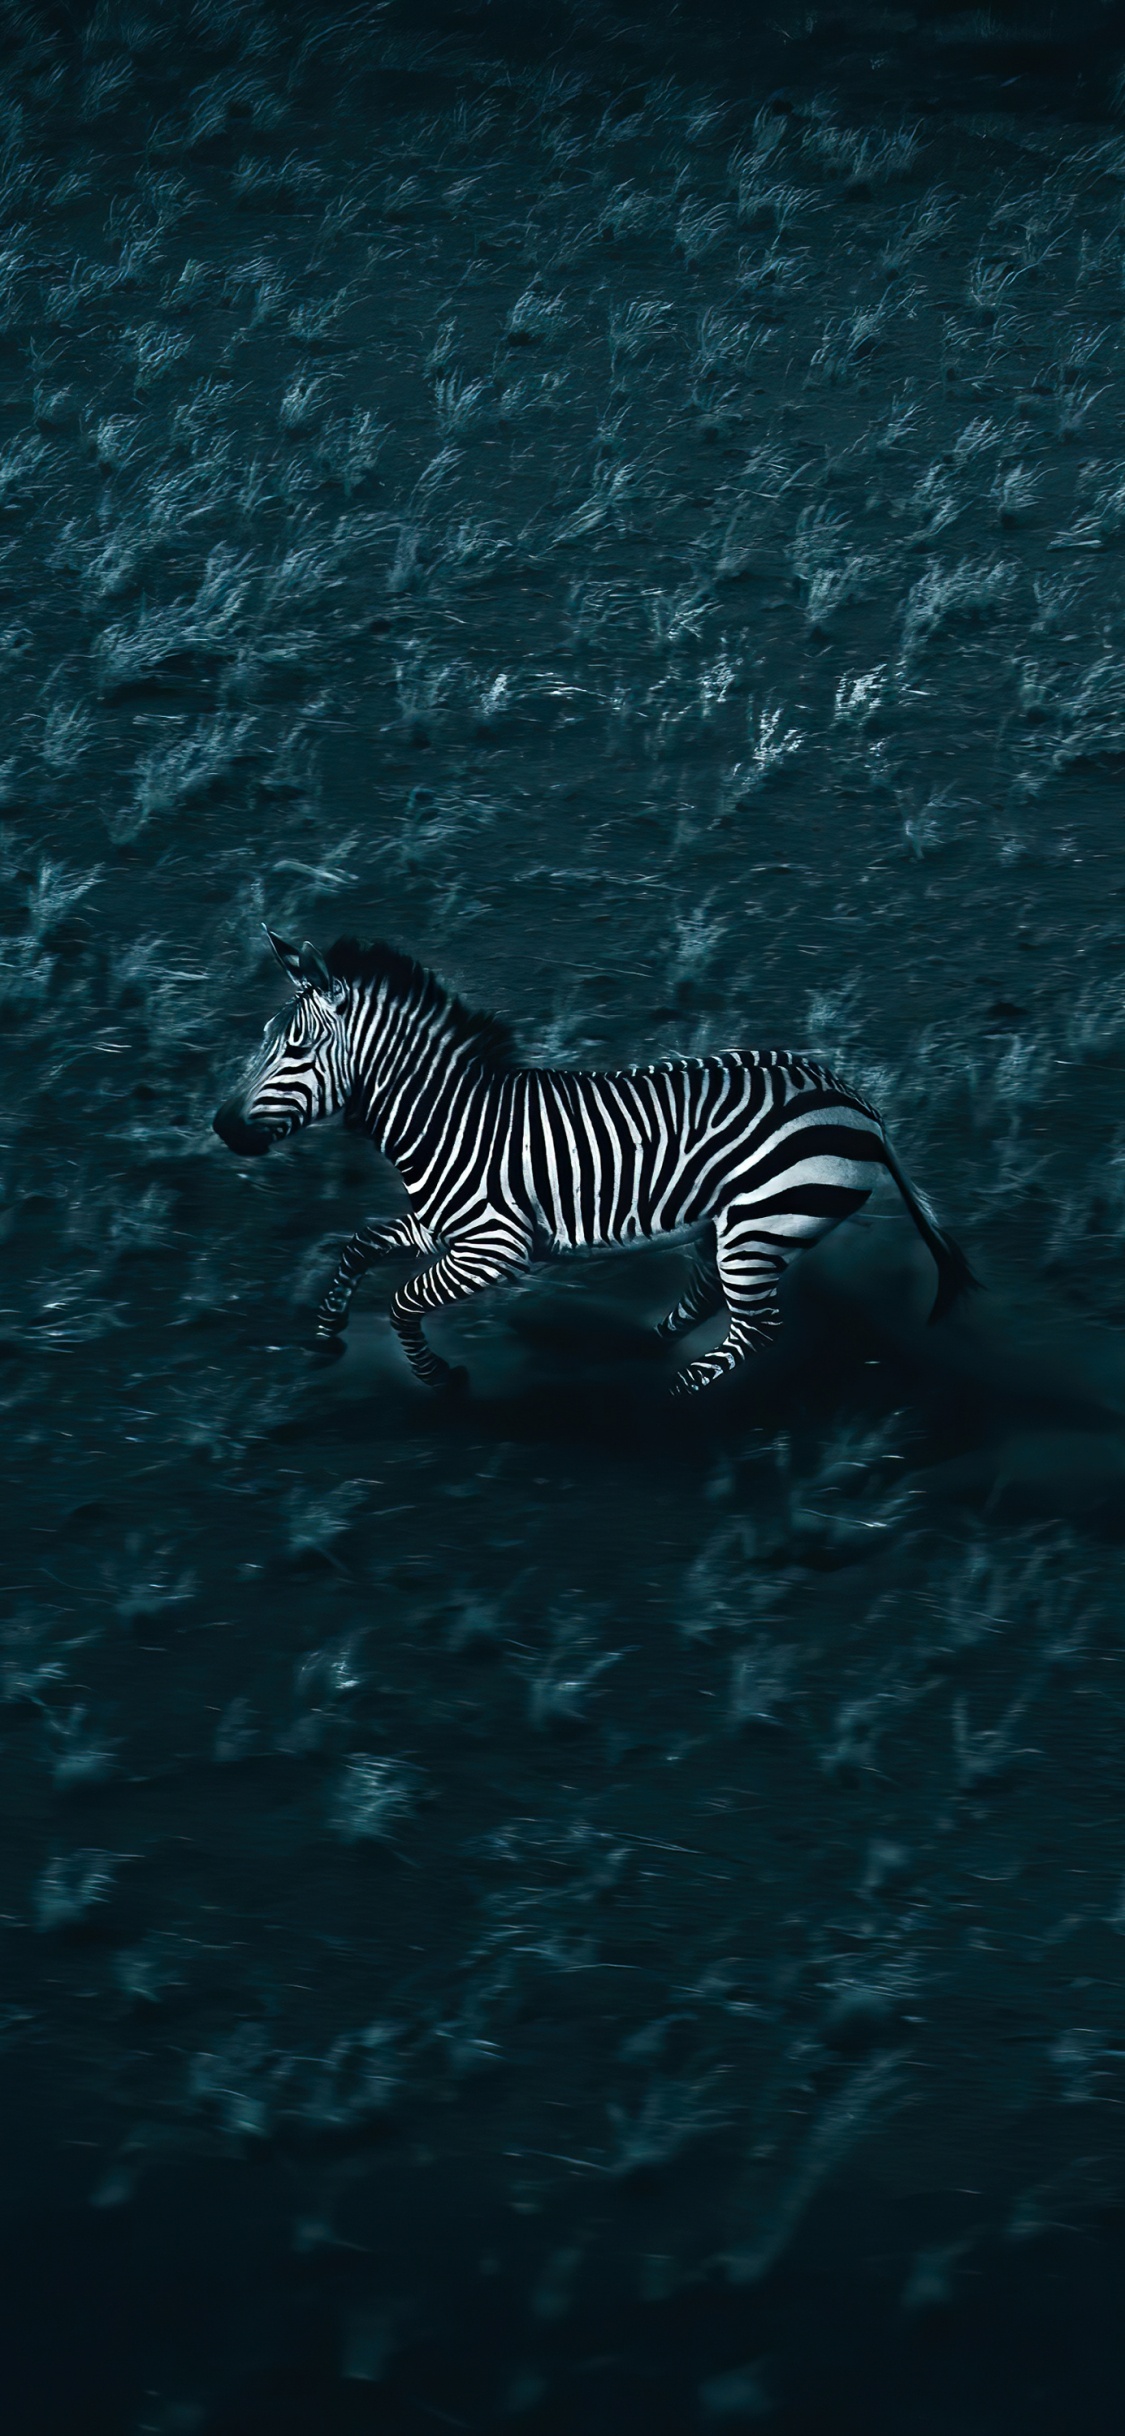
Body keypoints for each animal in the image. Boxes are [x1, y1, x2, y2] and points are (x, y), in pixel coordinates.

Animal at [213, 928, 977, 1396]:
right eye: (265, 1035)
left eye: (296, 1049)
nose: (220, 1128)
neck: (447, 1119)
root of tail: (857, 1101)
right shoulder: (441, 1228)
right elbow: (356, 1246)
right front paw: (324, 1336)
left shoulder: (495, 1248)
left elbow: (401, 1301)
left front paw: (440, 1379)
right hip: (732, 1223)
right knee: (712, 1296)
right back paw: (645, 1343)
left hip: (762, 1221)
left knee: (757, 1325)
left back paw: (671, 1394)